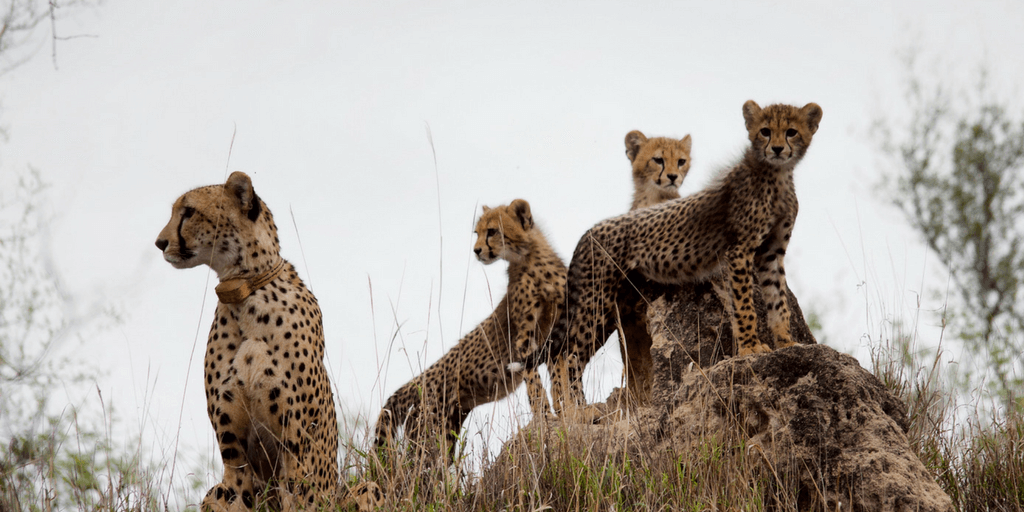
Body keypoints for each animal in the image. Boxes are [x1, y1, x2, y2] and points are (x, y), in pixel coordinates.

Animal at [155, 173, 337, 512]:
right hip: (214, 491)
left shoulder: (295, 451)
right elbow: (239, 493)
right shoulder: (234, 456)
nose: (160, 243)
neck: (245, 292)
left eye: (188, 211)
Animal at [374, 197, 569, 458]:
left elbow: (560, 380)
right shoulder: (525, 340)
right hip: (429, 435)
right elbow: (536, 385)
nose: (476, 251)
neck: (531, 260)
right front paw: (545, 417)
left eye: (492, 231)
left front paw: (567, 410)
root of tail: (415, 382)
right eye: (476, 233)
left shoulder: (555, 334)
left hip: (447, 431)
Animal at [520, 100, 823, 415]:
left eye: (791, 132)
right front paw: (751, 347)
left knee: (564, 353)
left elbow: (778, 301)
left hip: (607, 309)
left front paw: (787, 342)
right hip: (596, 301)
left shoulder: (771, 253)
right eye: (765, 131)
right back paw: (580, 411)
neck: (776, 174)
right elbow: (744, 305)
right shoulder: (739, 251)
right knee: (567, 355)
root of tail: (589, 231)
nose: (776, 149)